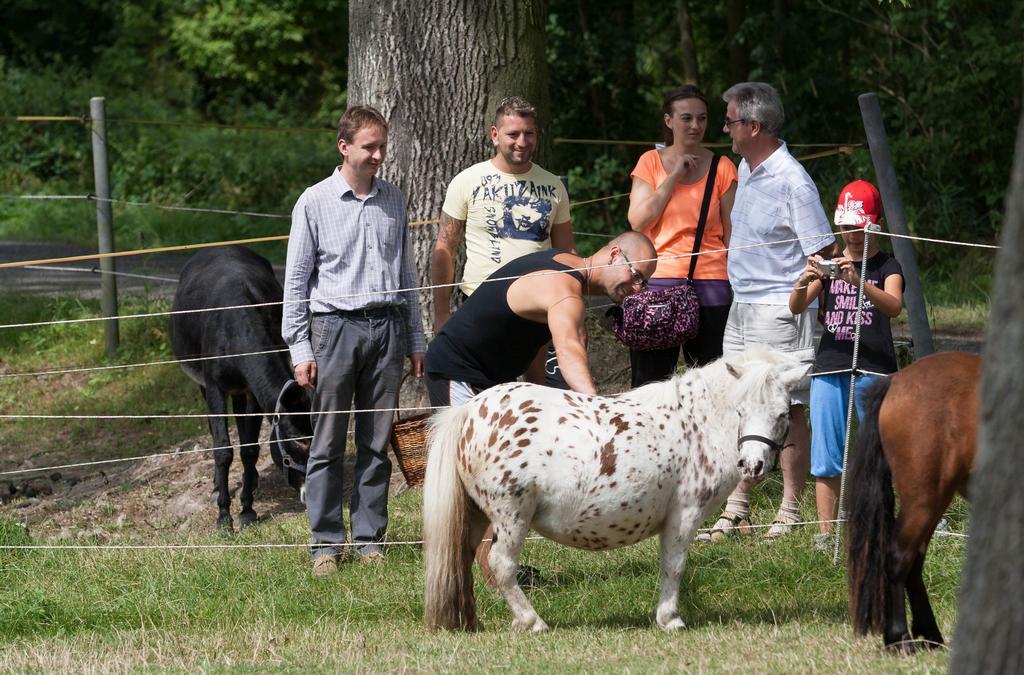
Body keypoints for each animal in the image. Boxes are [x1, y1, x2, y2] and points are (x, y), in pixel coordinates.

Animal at [171, 245, 311, 532]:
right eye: (297, 441)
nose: (309, 493)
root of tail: (220, 247)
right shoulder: (215, 387)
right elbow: (223, 449)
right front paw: (224, 516)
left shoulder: (251, 391)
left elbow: (250, 449)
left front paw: (247, 510)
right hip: (204, 384)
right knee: (214, 431)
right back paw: (216, 487)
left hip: (238, 392)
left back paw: (252, 480)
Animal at [423, 348, 806, 635]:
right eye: (741, 410)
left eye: (782, 414)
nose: (753, 464)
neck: (695, 424)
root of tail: (469, 411)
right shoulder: (683, 516)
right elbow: (674, 566)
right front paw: (670, 618)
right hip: (510, 517)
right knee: (501, 565)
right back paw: (532, 621)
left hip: (475, 517)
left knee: (462, 561)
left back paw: (471, 622)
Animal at [843, 354, 978, 655]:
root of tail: (895, 380)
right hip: (924, 498)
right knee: (898, 557)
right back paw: (900, 638)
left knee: (913, 561)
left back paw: (929, 634)